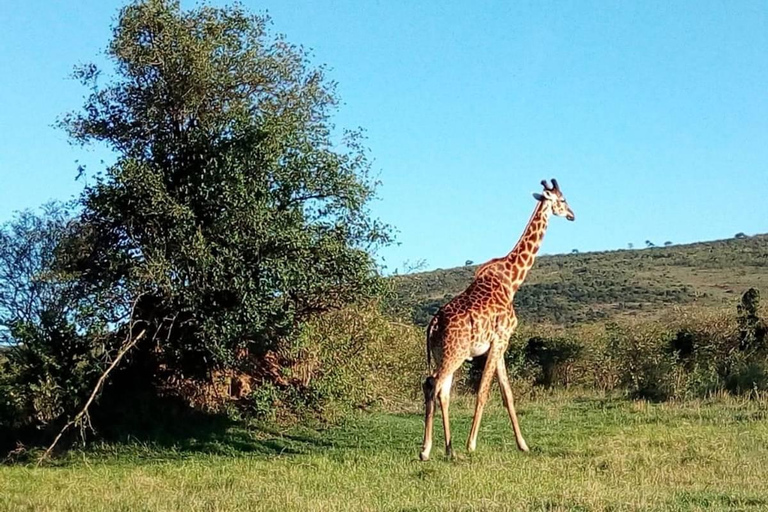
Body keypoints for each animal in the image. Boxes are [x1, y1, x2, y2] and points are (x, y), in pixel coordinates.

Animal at [420, 179, 576, 460]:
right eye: (562, 200)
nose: (572, 215)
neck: (512, 280)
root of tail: (433, 325)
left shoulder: (500, 345)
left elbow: (507, 394)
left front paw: (523, 444)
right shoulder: (501, 339)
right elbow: (483, 391)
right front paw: (471, 444)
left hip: (442, 354)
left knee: (442, 391)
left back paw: (449, 450)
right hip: (455, 353)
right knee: (432, 384)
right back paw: (426, 450)